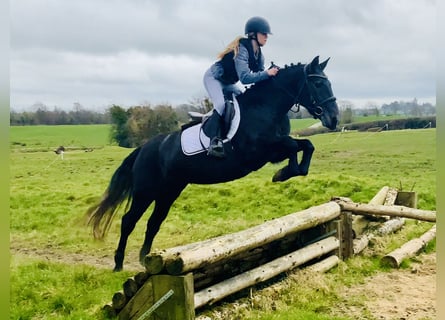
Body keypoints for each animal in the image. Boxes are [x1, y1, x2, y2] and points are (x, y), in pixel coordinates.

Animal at [86, 55, 336, 270]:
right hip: (146, 191)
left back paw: (145, 259)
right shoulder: (259, 151)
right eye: (317, 84)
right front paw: (284, 173)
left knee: (154, 222)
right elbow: (294, 146)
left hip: (169, 191)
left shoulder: (273, 150)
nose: (333, 119)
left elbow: (305, 146)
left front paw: (287, 172)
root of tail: (144, 148)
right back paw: (118, 264)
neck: (264, 107)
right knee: (129, 220)